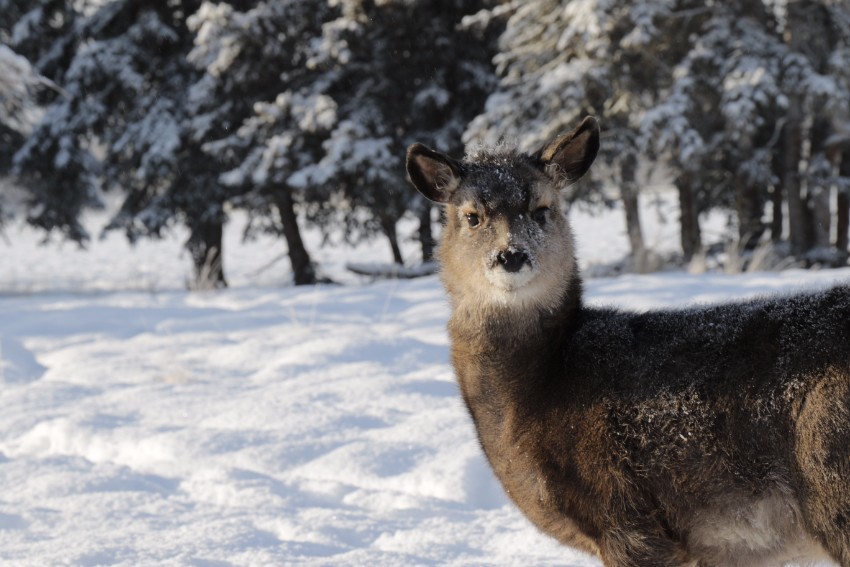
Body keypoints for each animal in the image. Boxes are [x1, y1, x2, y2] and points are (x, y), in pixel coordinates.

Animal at [402, 116, 848, 567]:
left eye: (542, 209)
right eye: (472, 216)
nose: (511, 255)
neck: (537, 388)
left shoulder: (626, 516)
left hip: (830, 471)